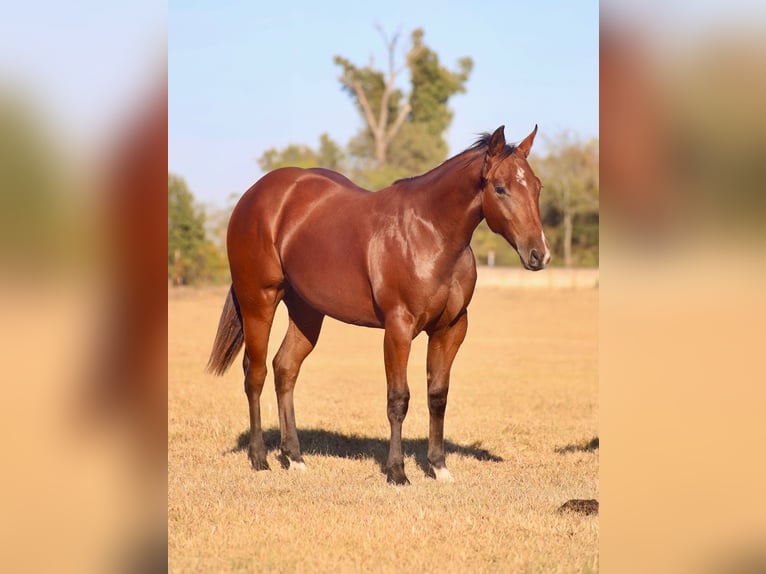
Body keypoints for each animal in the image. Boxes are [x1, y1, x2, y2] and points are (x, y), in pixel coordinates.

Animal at [207, 126, 548, 486]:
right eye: (500, 188)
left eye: (537, 186)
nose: (539, 254)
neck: (429, 233)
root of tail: (254, 195)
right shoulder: (398, 328)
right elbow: (398, 398)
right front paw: (397, 472)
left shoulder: (451, 328)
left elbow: (437, 395)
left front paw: (439, 467)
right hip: (259, 301)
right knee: (255, 373)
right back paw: (259, 458)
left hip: (306, 312)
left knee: (285, 368)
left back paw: (295, 457)